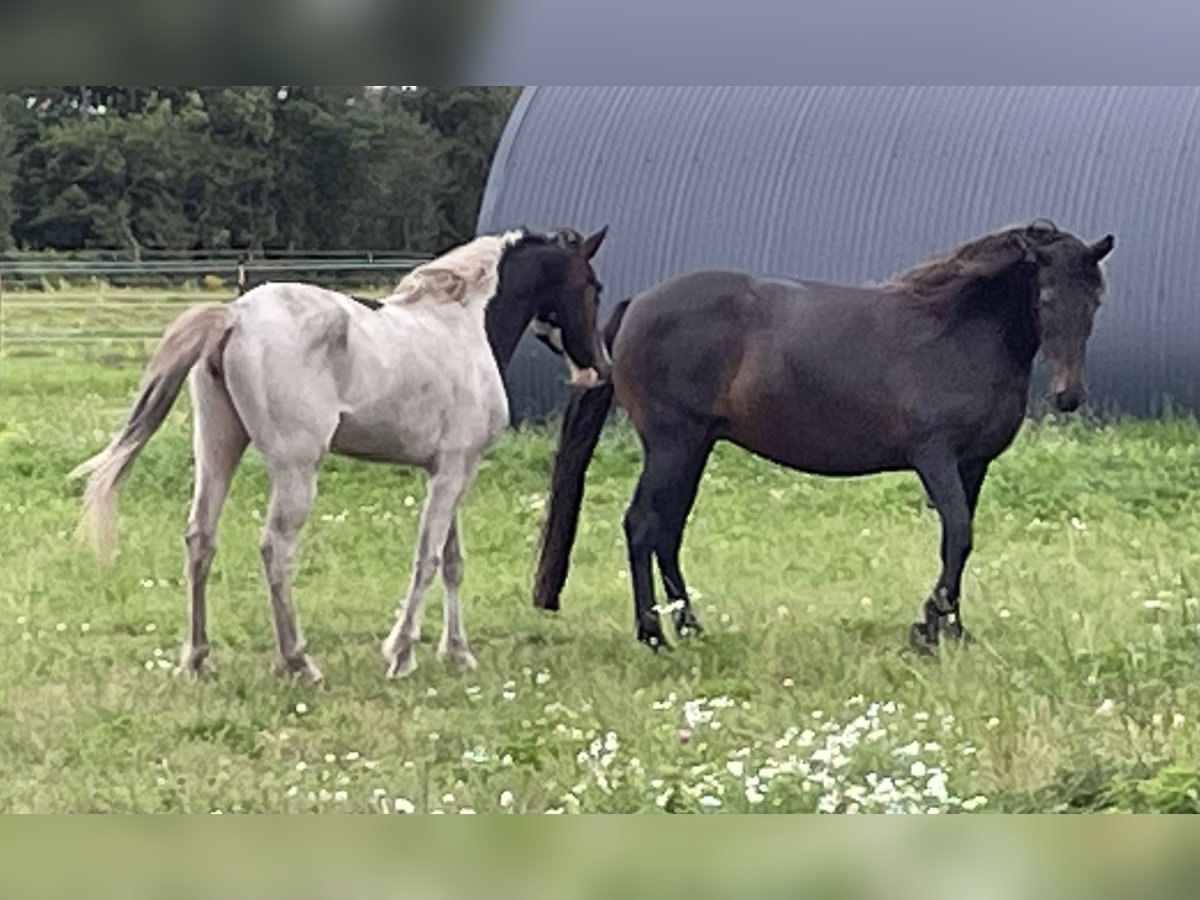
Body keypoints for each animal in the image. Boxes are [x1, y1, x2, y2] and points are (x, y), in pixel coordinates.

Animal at [70, 225, 609, 681]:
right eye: (591, 286)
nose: (599, 368)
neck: (464, 326)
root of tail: (236, 316)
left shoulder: (449, 470)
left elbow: (452, 561)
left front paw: (458, 653)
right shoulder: (455, 470)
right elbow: (428, 558)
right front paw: (401, 654)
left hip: (218, 449)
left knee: (200, 539)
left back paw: (199, 660)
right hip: (296, 469)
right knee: (276, 549)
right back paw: (299, 662)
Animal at [535, 218, 1113, 657]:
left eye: (1095, 299)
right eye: (1046, 295)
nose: (1068, 395)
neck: (956, 330)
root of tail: (636, 304)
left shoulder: (973, 465)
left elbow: (959, 542)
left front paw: (950, 628)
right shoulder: (936, 458)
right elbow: (958, 534)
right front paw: (929, 629)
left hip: (693, 448)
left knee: (667, 530)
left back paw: (693, 628)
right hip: (672, 444)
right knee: (642, 526)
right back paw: (653, 635)